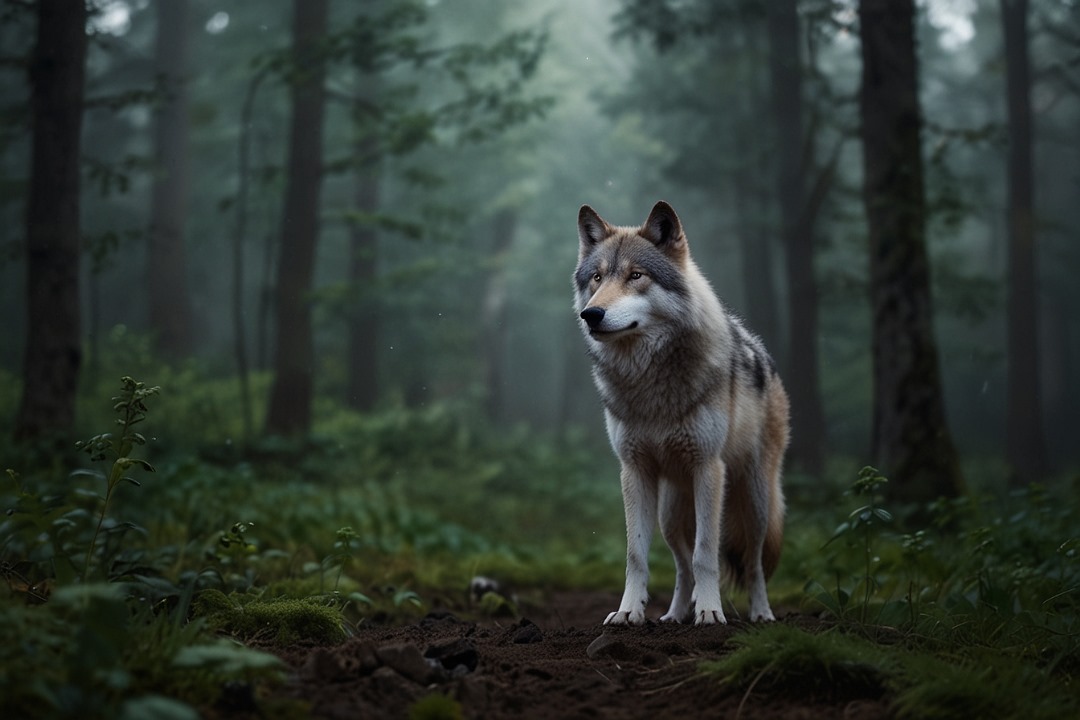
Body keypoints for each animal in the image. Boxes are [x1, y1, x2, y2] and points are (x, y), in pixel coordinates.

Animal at [574, 201, 789, 625]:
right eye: (597, 278)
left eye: (636, 276)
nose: (591, 314)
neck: (650, 382)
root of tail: (765, 356)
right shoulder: (634, 471)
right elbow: (636, 555)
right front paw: (628, 612)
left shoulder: (708, 468)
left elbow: (706, 553)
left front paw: (709, 612)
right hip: (671, 515)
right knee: (681, 565)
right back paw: (673, 615)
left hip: (754, 501)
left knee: (753, 563)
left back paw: (761, 613)